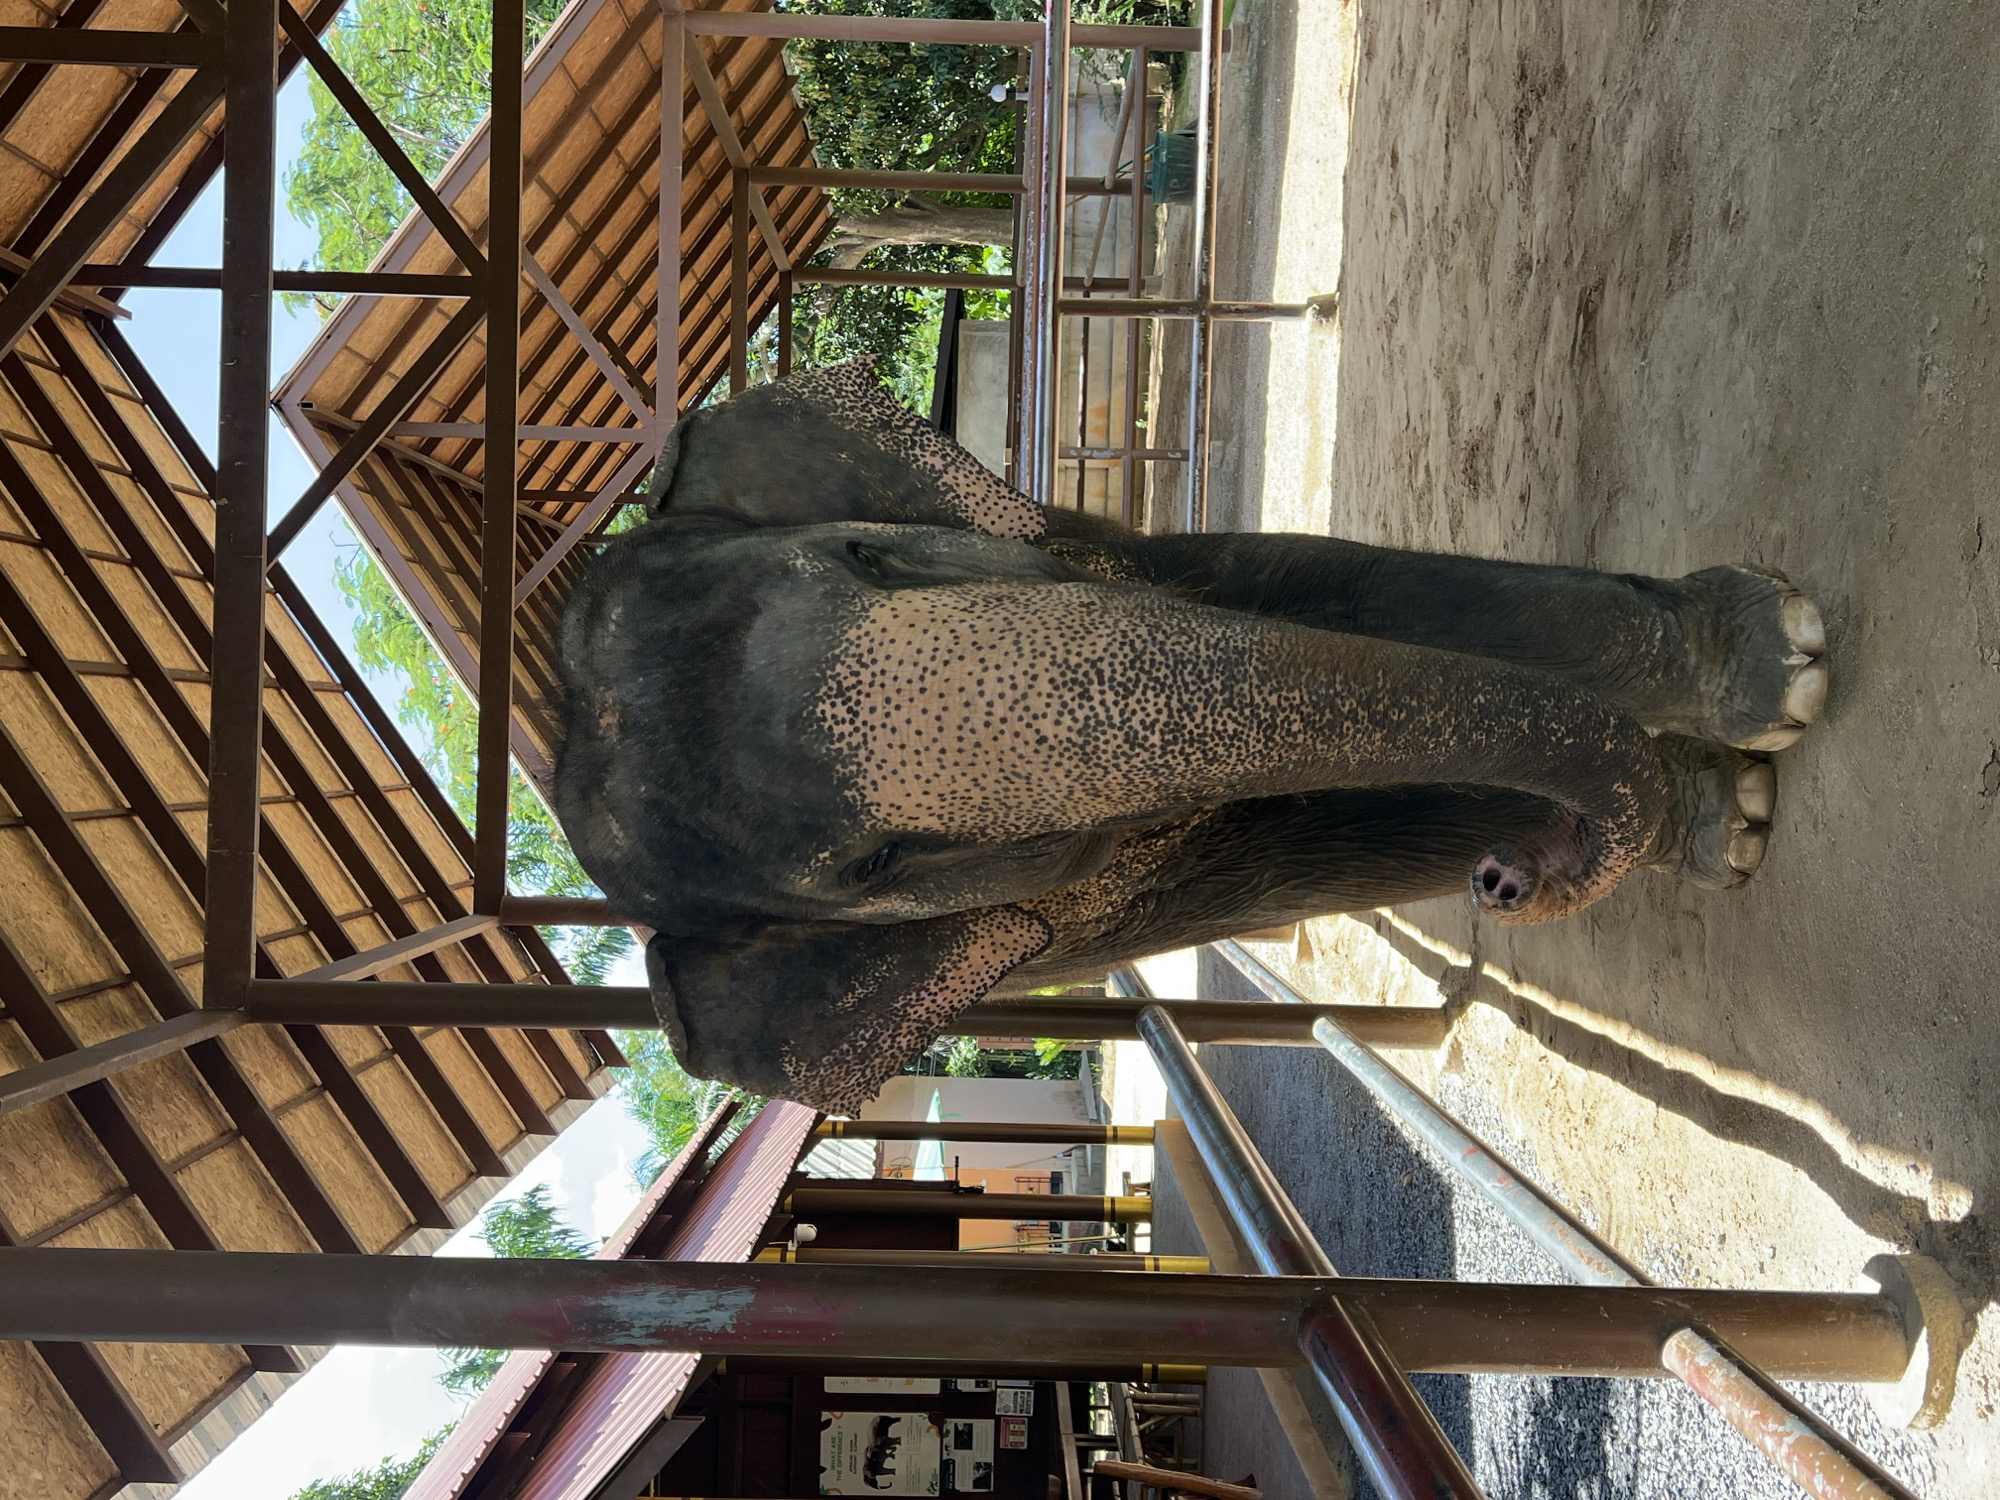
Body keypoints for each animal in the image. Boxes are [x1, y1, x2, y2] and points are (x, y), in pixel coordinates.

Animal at [553, 362, 1827, 1111]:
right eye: (877, 865)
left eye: (870, 557)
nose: (1507, 877)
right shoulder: (1109, 900)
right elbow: (1334, 832)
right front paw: (1726, 810)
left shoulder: (1084, 548)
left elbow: (1315, 587)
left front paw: (1779, 668)